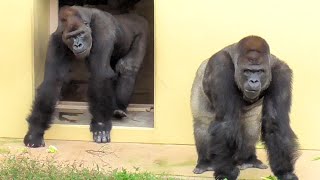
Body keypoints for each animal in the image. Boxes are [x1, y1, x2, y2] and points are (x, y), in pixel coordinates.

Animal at [24, 5, 149, 146]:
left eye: (80, 34)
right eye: (71, 37)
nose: (77, 45)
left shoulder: (102, 30)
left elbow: (100, 74)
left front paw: (100, 125)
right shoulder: (57, 40)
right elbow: (52, 81)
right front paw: (35, 131)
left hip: (143, 27)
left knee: (127, 67)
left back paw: (119, 108)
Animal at [191, 35, 298, 180]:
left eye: (259, 71)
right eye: (247, 71)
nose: (253, 81)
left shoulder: (282, 72)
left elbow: (275, 123)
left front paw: (285, 172)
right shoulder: (220, 65)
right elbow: (226, 122)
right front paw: (226, 172)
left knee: (250, 125)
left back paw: (247, 160)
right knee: (202, 124)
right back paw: (206, 163)